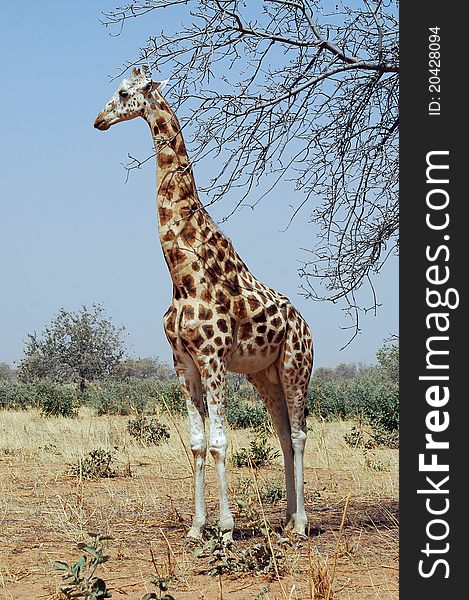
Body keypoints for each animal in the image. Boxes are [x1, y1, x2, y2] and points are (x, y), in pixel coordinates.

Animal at [94, 68, 314, 540]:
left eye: (123, 92)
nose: (98, 120)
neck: (182, 274)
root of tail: (307, 325)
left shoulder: (213, 358)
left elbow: (220, 442)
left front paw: (227, 528)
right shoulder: (183, 361)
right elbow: (196, 444)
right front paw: (197, 528)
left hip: (295, 366)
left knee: (300, 434)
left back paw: (302, 524)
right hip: (263, 375)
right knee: (283, 434)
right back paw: (287, 519)